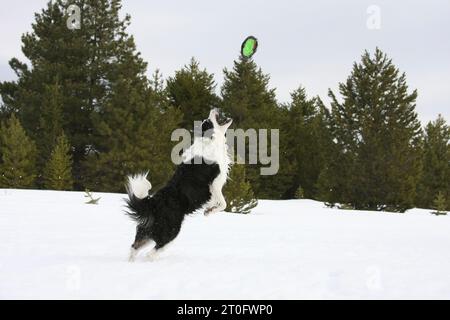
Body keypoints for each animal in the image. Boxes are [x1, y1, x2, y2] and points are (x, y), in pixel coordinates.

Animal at [125, 109, 232, 262]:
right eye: (208, 121)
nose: (214, 109)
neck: (209, 141)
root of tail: (153, 204)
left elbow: (216, 202)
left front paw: (208, 209)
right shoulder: (215, 184)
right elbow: (223, 203)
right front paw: (209, 211)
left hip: (146, 231)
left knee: (134, 247)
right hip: (170, 231)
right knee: (151, 253)